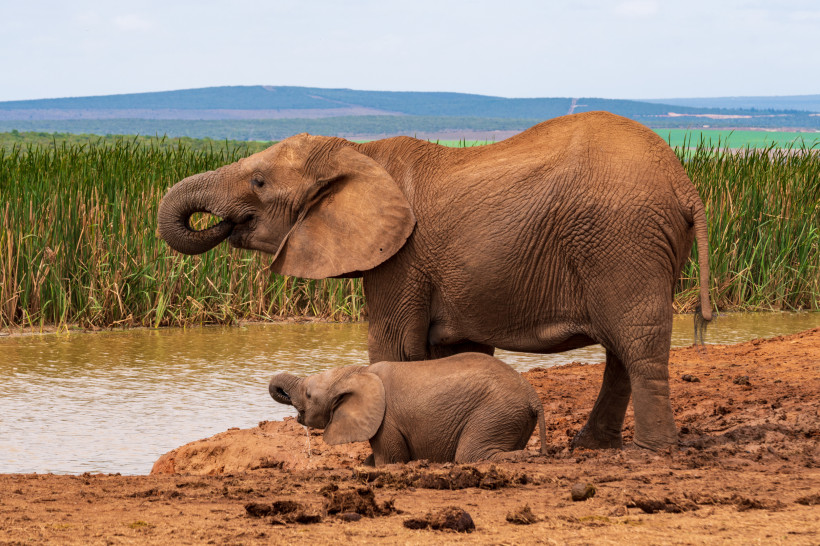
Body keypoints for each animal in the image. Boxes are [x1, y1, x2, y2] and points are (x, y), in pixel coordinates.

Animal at [157, 110, 712, 452]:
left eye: (258, 182)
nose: (220, 224)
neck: (358, 151)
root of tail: (685, 184)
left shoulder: (402, 258)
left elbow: (393, 346)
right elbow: (454, 355)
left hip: (623, 239)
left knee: (637, 342)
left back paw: (649, 452)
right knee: (622, 348)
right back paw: (591, 446)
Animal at [268, 352, 547, 465]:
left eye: (308, 395)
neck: (355, 372)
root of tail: (533, 397)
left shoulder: (386, 421)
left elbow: (389, 461)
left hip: (495, 411)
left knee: (470, 454)